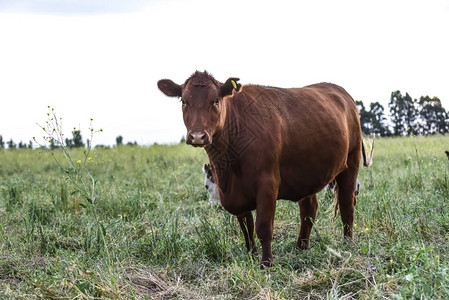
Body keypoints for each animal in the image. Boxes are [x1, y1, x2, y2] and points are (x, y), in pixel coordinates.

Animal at [158, 71, 372, 268]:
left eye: (216, 100)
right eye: (184, 102)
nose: (197, 136)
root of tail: (340, 91)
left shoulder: (267, 184)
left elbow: (263, 226)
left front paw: (266, 262)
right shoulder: (235, 192)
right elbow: (246, 225)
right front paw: (251, 253)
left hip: (350, 163)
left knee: (347, 204)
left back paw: (347, 243)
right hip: (307, 174)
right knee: (309, 209)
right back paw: (301, 246)